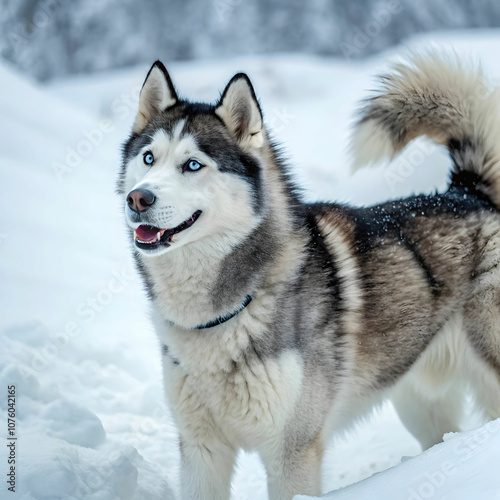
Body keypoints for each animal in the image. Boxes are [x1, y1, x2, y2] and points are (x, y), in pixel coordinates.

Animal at [118, 52, 500, 498]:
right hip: (419, 405)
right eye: (149, 158)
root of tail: (468, 193)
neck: (223, 313)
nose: (138, 198)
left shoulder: (292, 453)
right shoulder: (201, 450)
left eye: (192, 165)